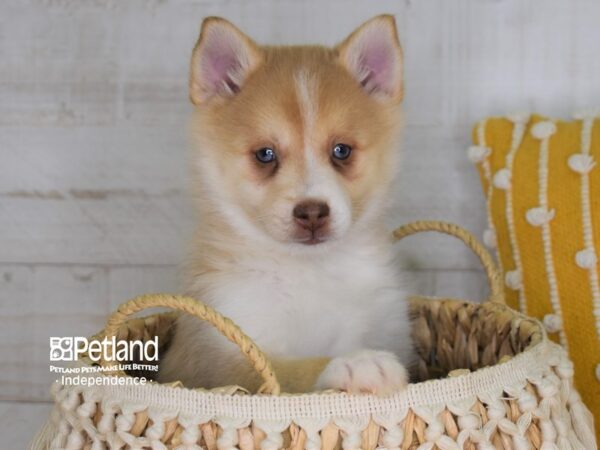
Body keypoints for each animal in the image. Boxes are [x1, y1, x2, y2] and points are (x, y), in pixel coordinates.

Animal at [157, 13, 414, 394]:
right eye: (265, 154)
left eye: (341, 150)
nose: (312, 212)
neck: (309, 272)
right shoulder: (228, 359)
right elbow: (291, 370)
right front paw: (357, 362)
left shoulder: (390, 328)